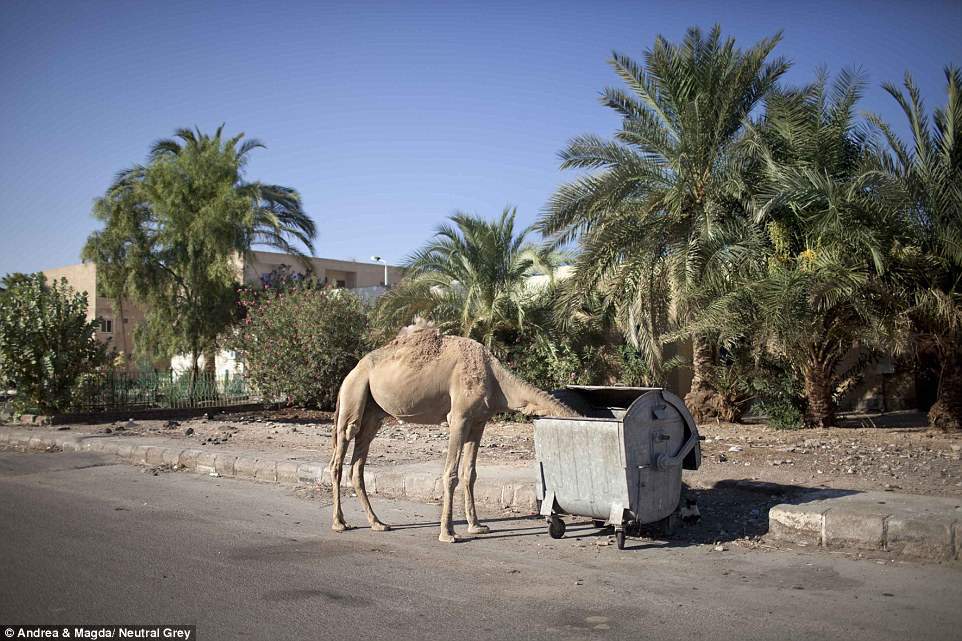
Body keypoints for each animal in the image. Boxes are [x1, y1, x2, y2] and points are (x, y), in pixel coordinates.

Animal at [330, 320, 572, 540]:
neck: (497, 381)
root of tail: (351, 372)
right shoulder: (459, 418)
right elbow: (451, 474)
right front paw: (448, 533)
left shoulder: (478, 422)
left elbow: (470, 474)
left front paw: (476, 526)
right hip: (354, 394)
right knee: (341, 450)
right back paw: (340, 523)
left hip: (374, 413)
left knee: (357, 464)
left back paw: (377, 523)